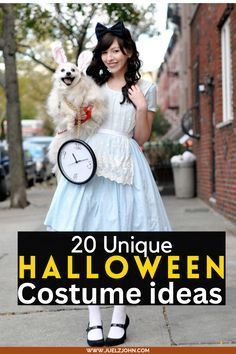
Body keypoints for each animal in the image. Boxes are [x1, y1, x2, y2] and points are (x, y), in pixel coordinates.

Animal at [47, 42, 106, 170]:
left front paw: (90, 114)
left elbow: (93, 105)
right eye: (63, 70)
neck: (71, 90)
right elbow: (69, 113)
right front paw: (70, 124)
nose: (68, 73)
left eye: (73, 70)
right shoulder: (61, 104)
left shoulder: (92, 97)